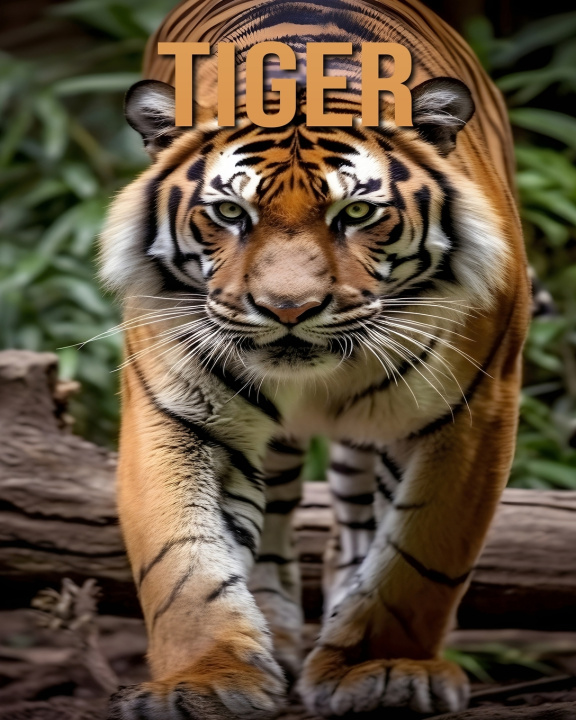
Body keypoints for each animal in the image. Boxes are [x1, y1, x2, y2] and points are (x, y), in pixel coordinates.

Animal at [100, 0, 530, 717]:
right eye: (229, 211)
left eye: (355, 212)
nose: (288, 309)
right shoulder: (177, 411)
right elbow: (182, 558)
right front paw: (204, 679)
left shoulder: (477, 409)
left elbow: (420, 556)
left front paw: (385, 668)